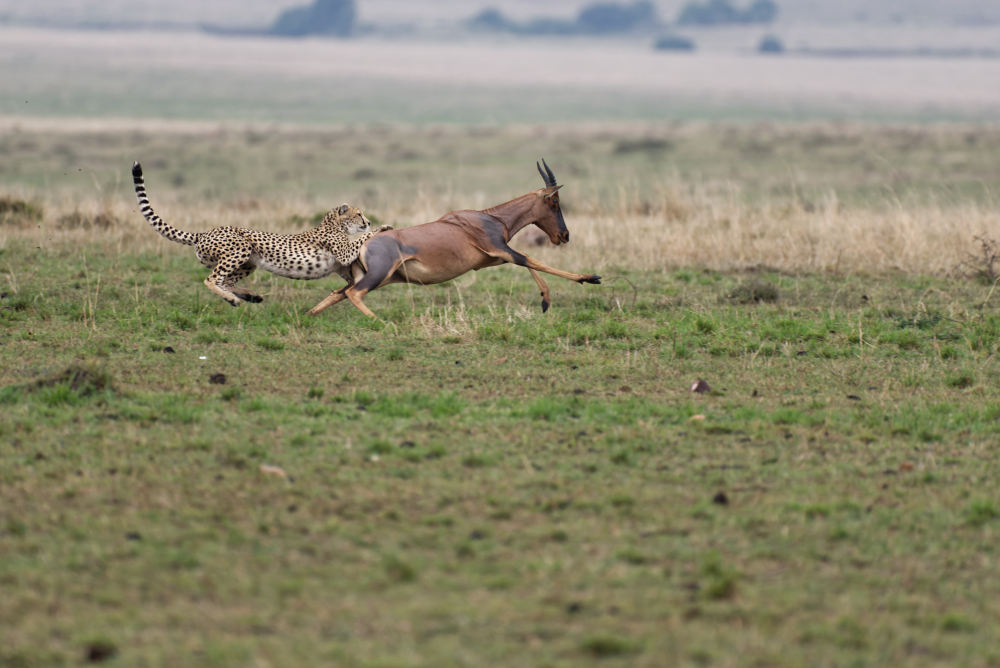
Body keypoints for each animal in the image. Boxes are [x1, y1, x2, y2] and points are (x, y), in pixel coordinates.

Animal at [136, 162, 390, 308]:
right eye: (359, 214)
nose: (368, 221)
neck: (334, 224)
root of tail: (205, 232)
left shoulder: (342, 266)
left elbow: (351, 279)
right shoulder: (344, 252)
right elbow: (359, 240)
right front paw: (383, 227)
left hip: (248, 263)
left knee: (226, 281)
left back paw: (249, 296)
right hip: (240, 249)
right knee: (212, 279)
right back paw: (234, 299)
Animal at [308, 160, 596, 320]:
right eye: (554, 202)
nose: (564, 235)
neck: (487, 217)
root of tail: (362, 243)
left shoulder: (492, 259)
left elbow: (526, 263)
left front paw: (545, 300)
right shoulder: (499, 249)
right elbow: (530, 260)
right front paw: (589, 278)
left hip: (377, 277)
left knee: (338, 294)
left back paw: (309, 315)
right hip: (379, 275)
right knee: (354, 294)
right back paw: (380, 321)